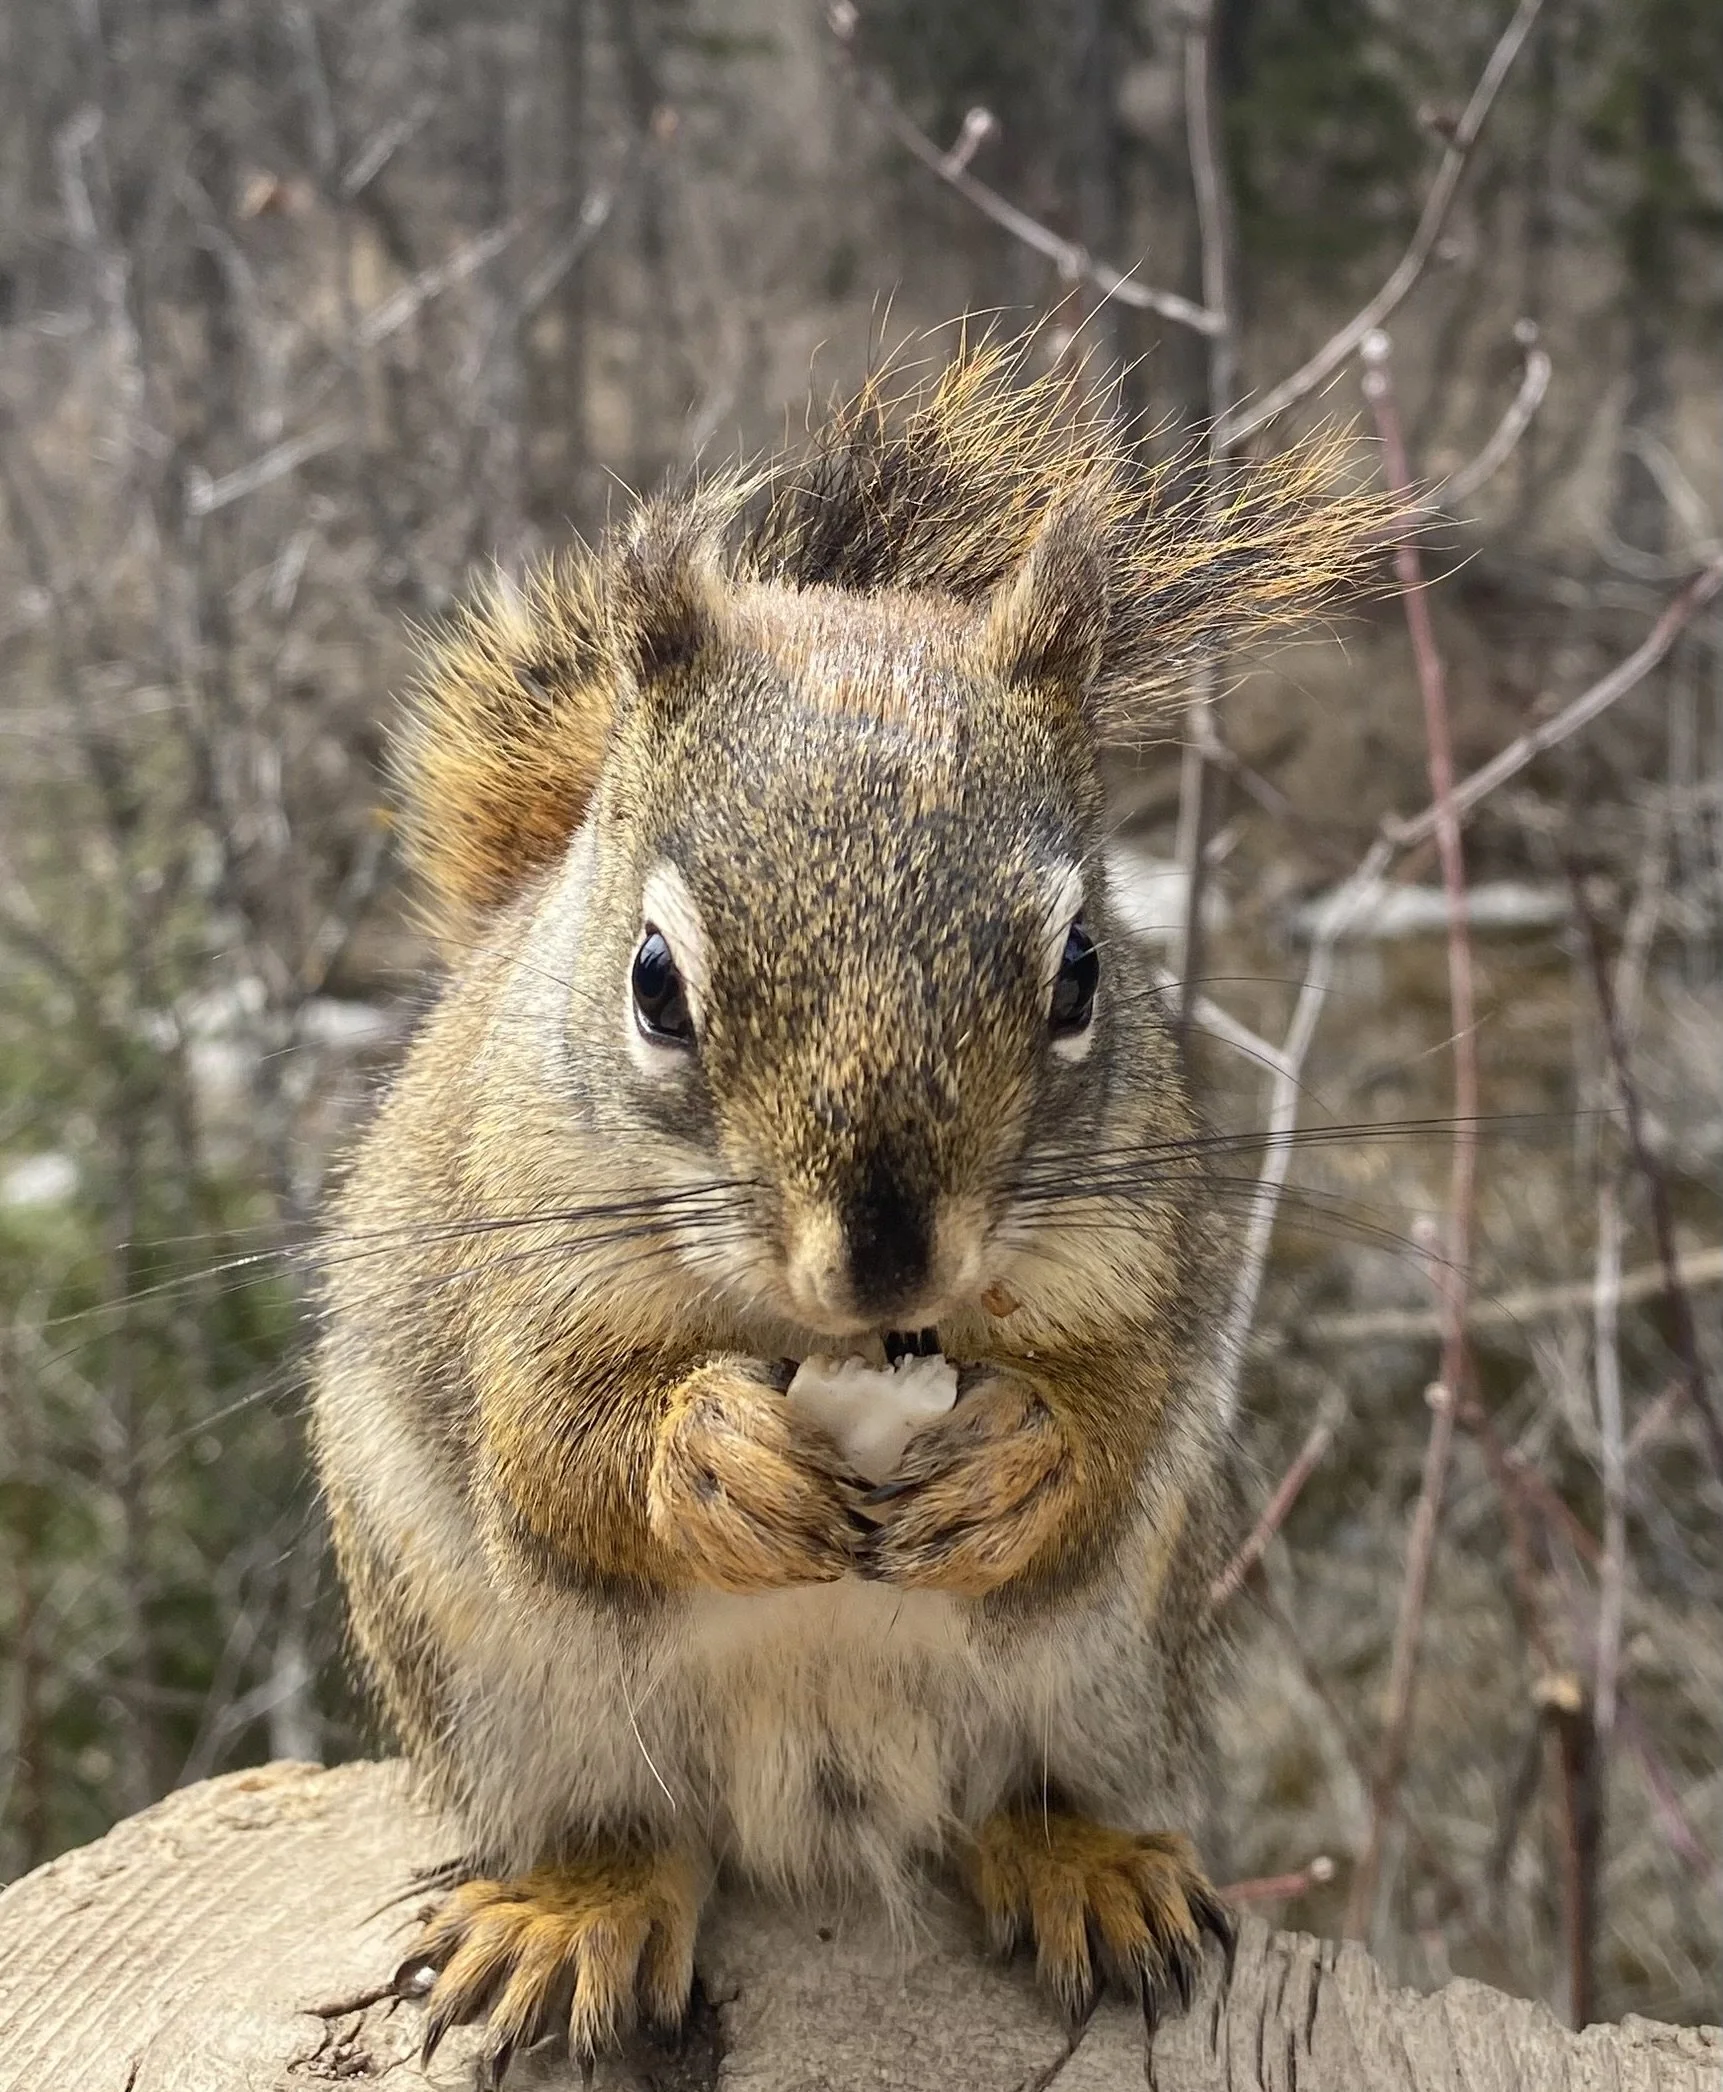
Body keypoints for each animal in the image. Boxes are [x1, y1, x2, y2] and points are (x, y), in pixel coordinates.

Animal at [311, 341, 1389, 2080]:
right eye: (652, 981)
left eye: (1082, 970)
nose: (887, 1261)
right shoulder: (511, 1271)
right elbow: (548, 1453)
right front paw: (708, 1456)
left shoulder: (1137, 1257)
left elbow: (1118, 1406)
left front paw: (1022, 1459)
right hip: (499, 1689)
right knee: (619, 1823)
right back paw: (573, 1907)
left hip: (1108, 1663)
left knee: (1017, 1793)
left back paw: (1084, 1866)